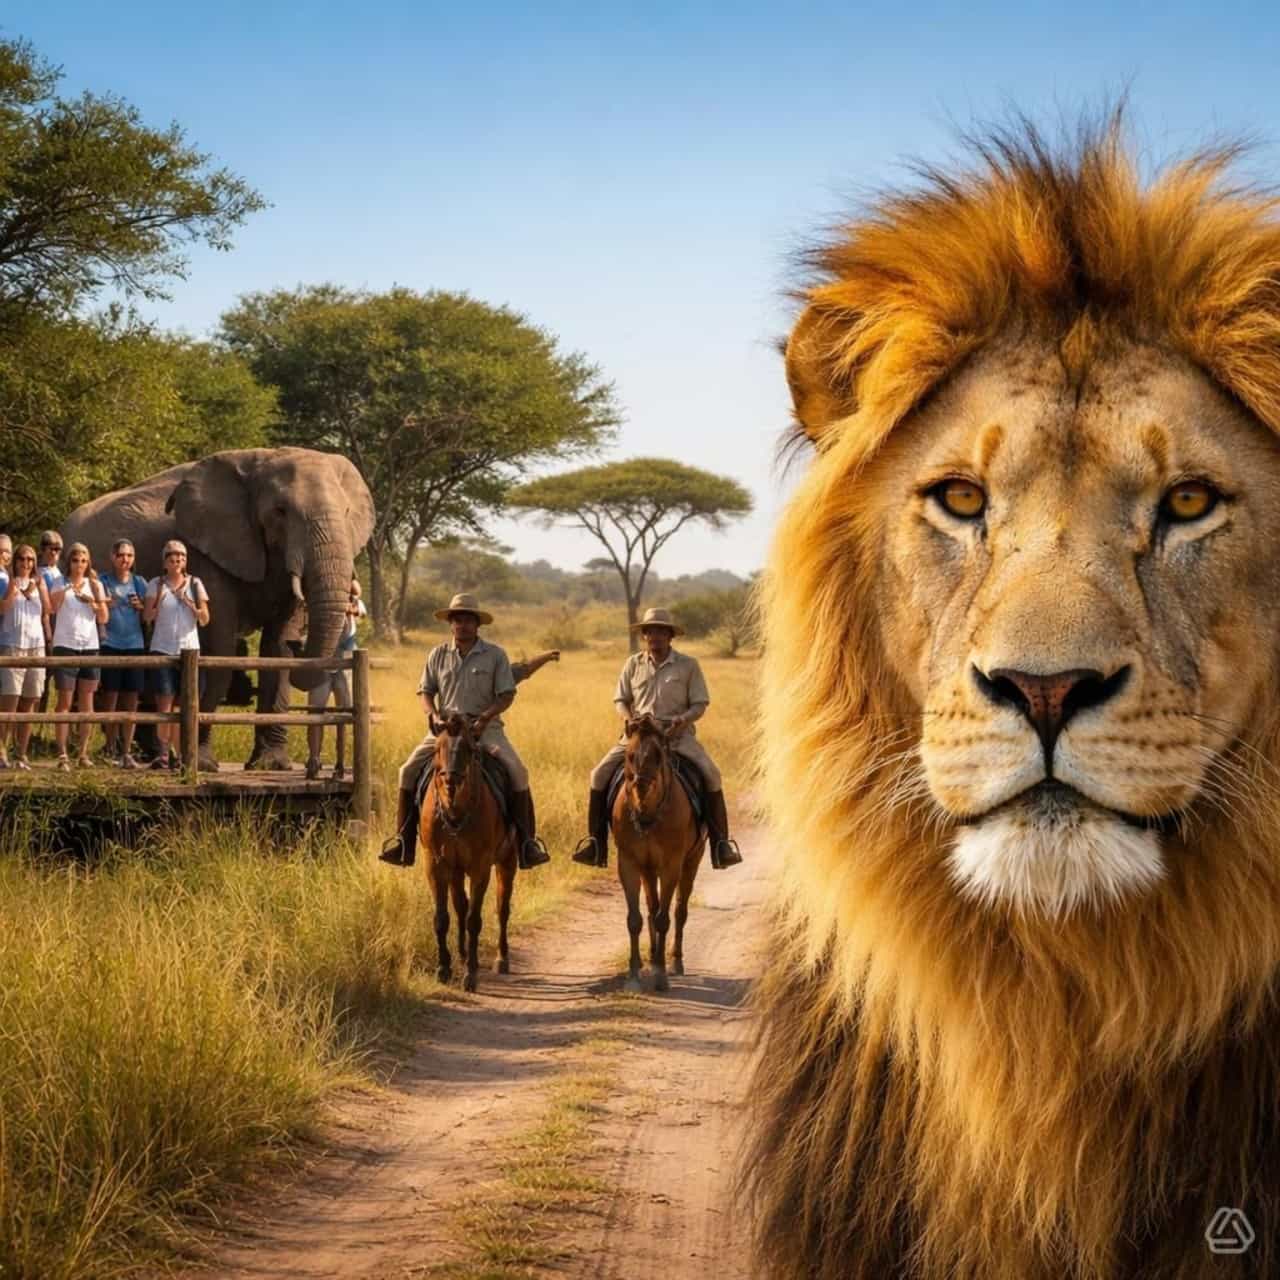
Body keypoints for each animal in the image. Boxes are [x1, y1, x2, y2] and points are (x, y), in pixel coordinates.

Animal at [62, 448, 375, 771]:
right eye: (280, 511)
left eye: (348, 513)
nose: (298, 642)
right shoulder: (206, 552)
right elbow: (220, 646)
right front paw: (202, 764)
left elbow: (275, 652)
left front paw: (270, 765)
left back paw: (147, 754)